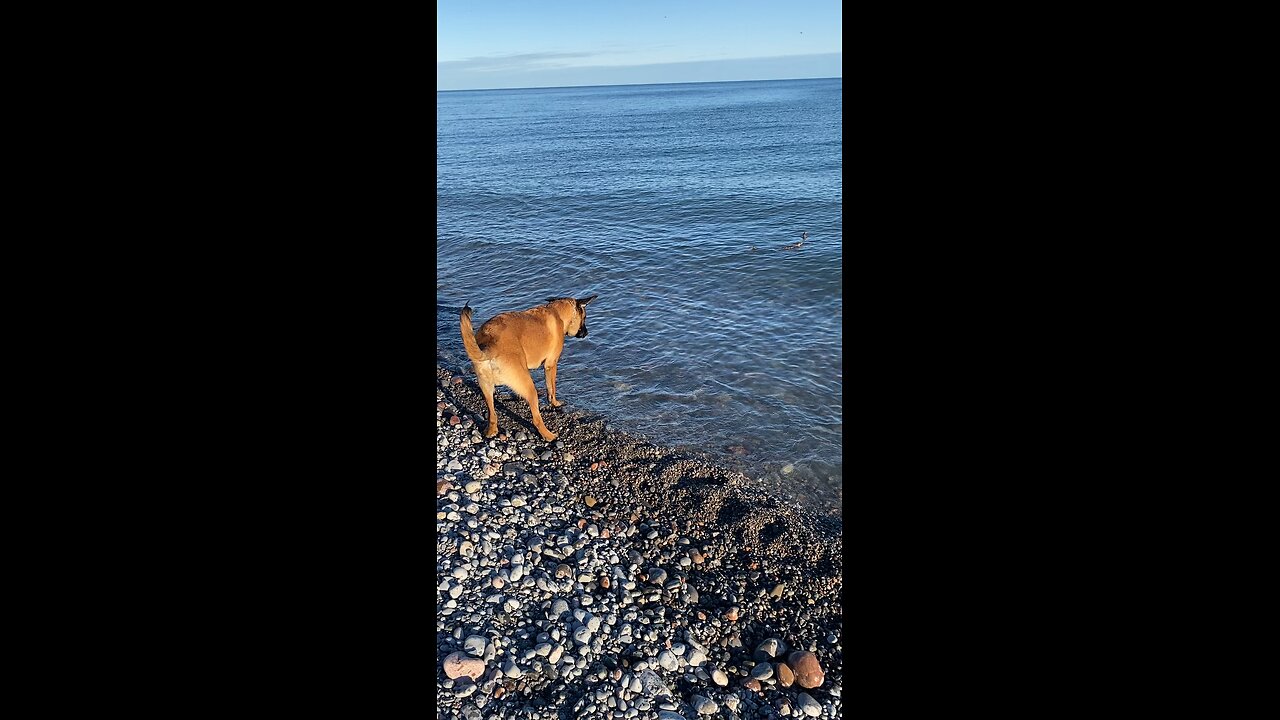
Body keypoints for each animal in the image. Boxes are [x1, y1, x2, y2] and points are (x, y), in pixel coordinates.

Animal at [460, 293, 599, 440]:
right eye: (584, 318)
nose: (586, 333)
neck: (557, 311)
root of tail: (490, 345)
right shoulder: (551, 365)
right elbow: (551, 388)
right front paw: (555, 403)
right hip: (530, 388)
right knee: (536, 419)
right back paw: (549, 435)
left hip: (486, 387)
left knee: (492, 415)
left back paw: (491, 431)